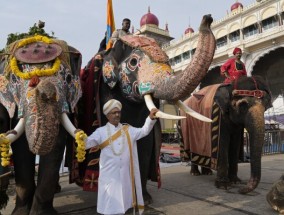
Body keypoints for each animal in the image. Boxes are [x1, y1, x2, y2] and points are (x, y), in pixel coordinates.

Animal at [0, 35, 84, 215]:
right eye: (14, 79)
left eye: (68, 79)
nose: (45, 90)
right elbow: (21, 148)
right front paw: (20, 213)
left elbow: (56, 146)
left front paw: (40, 213)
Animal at [76, 13, 216, 205]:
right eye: (134, 62)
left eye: (169, 61)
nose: (207, 18)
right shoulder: (106, 92)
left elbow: (145, 143)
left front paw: (146, 200)